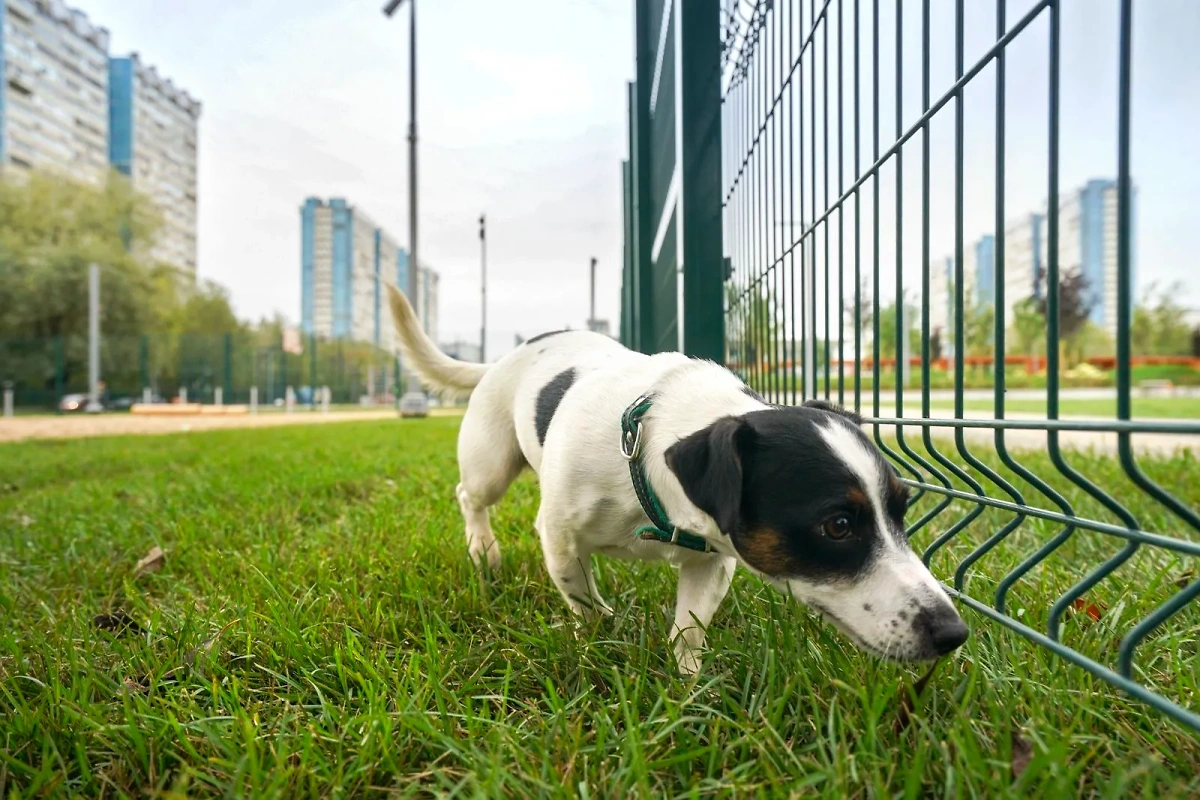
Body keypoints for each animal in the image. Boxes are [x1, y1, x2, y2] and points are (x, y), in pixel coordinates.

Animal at [388, 284, 969, 671]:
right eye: (838, 525)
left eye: (903, 509)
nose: (954, 632)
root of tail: (501, 358)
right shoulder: (559, 537)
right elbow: (584, 602)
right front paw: (600, 635)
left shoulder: (712, 560)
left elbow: (689, 628)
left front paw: (687, 686)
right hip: (489, 462)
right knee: (470, 495)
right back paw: (483, 549)